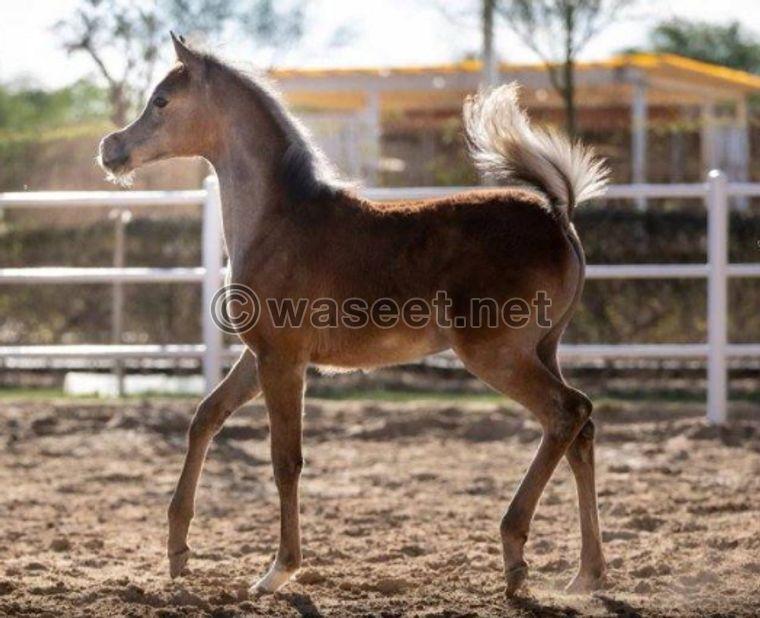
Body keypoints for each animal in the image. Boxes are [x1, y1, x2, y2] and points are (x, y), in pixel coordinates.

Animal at [101, 35, 608, 596]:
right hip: (543, 348)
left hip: (495, 353)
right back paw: (587, 573)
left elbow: (286, 459)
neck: (277, 222)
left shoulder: (283, 360)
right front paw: (177, 551)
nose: (110, 149)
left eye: (162, 101)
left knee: (567, 412)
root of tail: (557, 215)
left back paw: (516, 556)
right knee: (581, 429)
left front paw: (278, 570)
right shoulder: (261, 357)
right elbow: (205, 416)